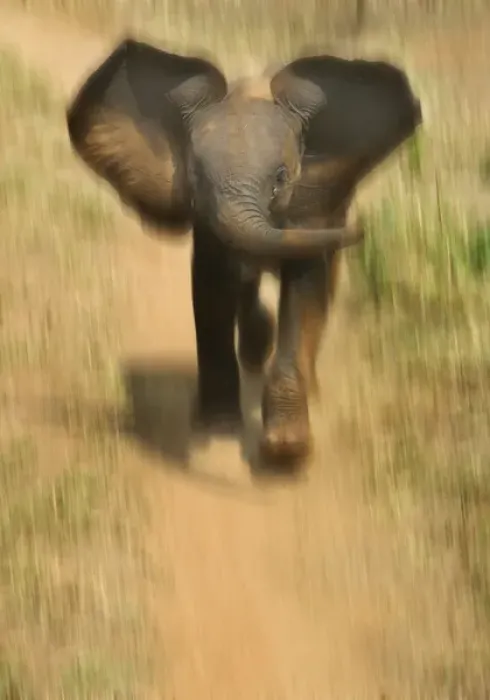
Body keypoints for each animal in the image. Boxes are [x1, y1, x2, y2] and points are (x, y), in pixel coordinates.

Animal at [66, 38, 422, 467]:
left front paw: (285, 450)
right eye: (196, 177)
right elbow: (212, 288)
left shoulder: (312, 202)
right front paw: (219, 430)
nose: (363, 228)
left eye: (281, 178)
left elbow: (305, 288)